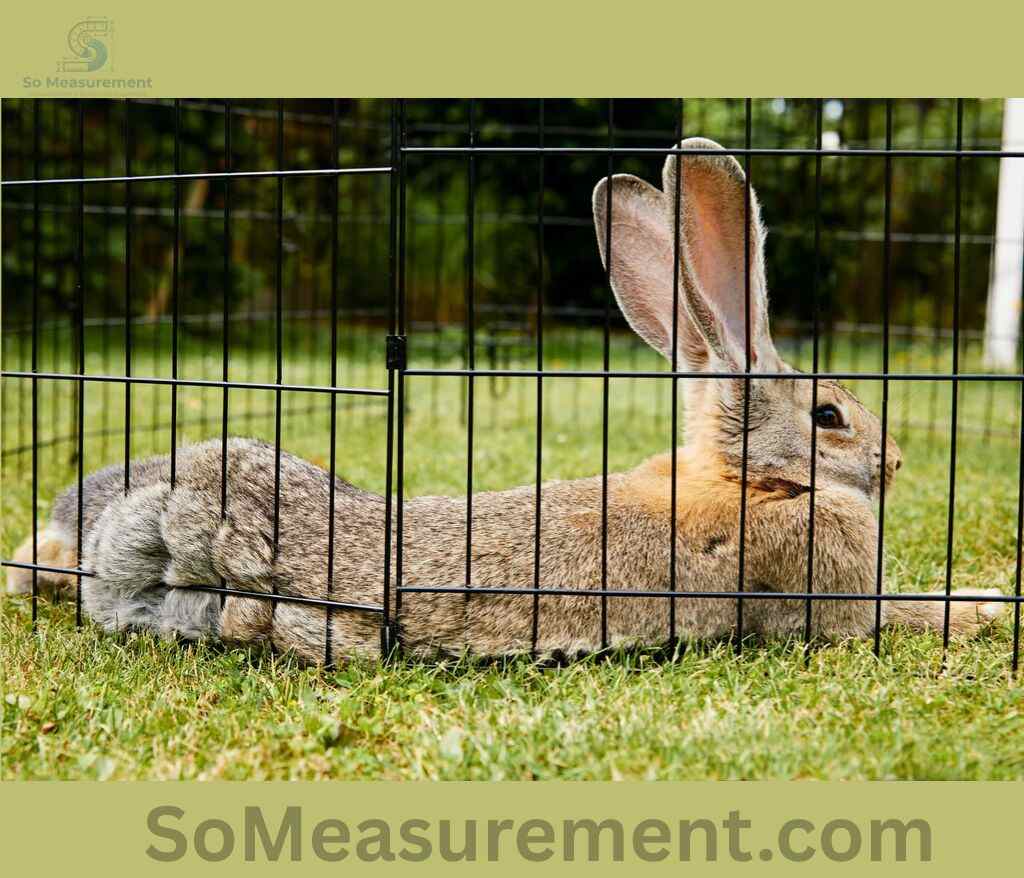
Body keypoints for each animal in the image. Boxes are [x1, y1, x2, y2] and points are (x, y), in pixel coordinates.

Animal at [7, 137, 1008, 664]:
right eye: (830, 417)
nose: (895, 461)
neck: (752, 480)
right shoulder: (829, 608)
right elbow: (901, 616)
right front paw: (989, 606)